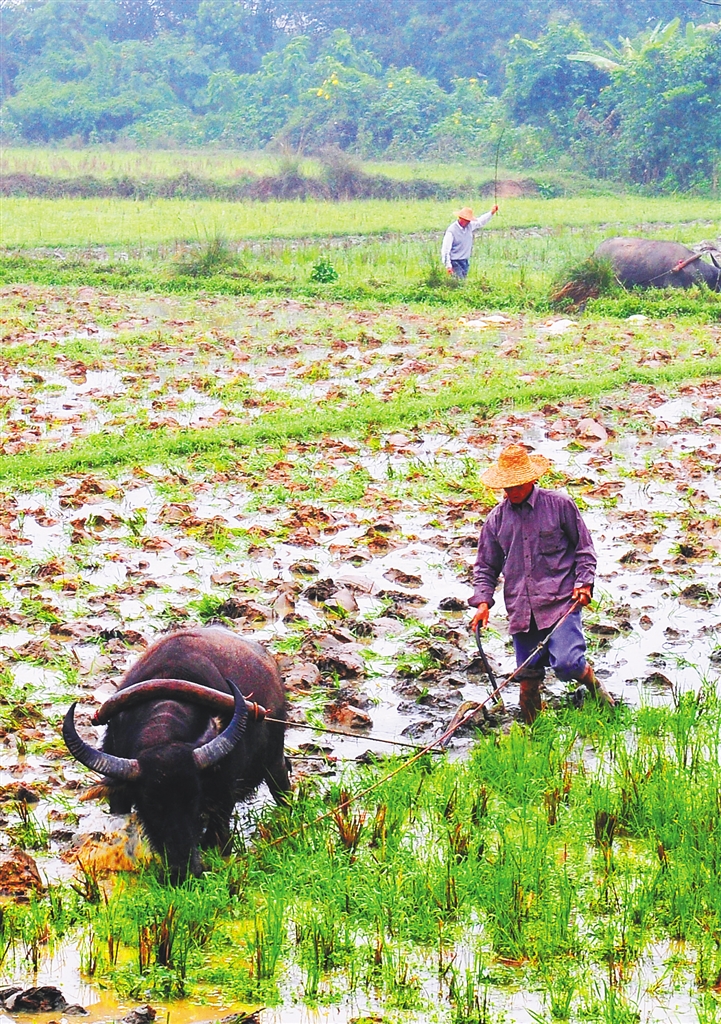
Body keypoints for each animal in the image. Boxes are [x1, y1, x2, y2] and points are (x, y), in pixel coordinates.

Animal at [62, 626, 290, 876]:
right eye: (151, 804)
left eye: (195, 799)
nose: (184, 870)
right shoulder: (119, 792)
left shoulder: (222, 795)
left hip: (275, 763)